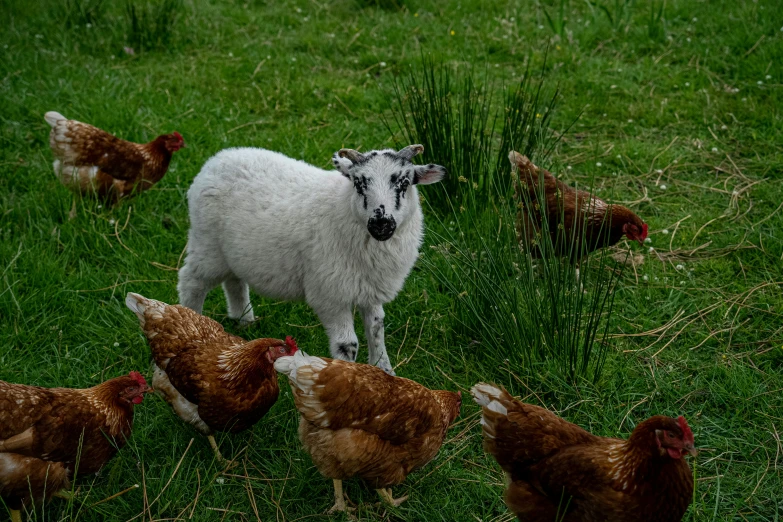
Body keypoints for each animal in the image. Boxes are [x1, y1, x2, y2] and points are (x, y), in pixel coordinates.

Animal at [178, 142, 448, 374]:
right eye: (359, 183)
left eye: (404, 182)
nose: (380, 223)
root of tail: (218, 159)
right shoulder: (331, 295)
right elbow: (347, 345)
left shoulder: (369, 288)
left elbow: (376, 328)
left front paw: (385, 372)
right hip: (207, 246)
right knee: (191, 282)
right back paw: (192, 325)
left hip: (232, 253)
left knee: (234, 281)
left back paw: (245, 320)